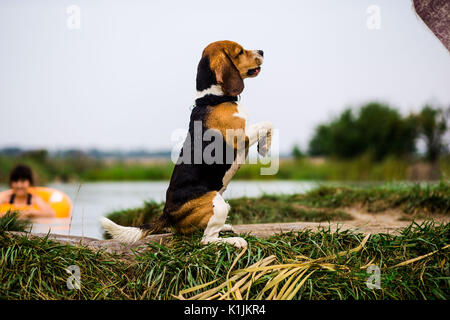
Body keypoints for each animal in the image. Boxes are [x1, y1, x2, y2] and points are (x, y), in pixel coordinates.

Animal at [100, 40, 272, 249]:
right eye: (240, 52)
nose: (262, 51)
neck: (213, 98)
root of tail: (168, 214)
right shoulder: (240, 136)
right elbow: (267, 124)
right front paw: (264, 147)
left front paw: (264, 145)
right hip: (218, 203)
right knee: (207, 240)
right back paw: (232, 240)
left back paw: (225, 228)